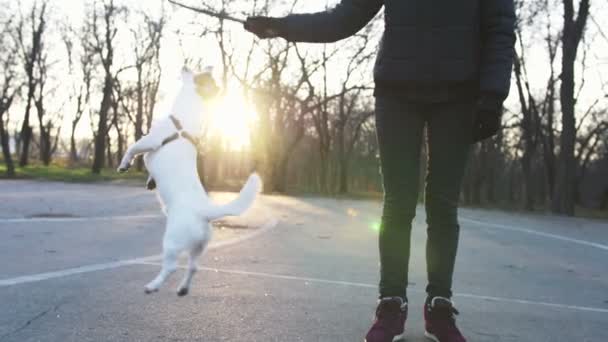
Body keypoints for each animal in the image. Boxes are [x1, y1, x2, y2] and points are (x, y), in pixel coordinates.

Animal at [118, 68, 262, 296]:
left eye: (197, 73)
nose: (185, 66)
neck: (183, 120)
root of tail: (205, 211)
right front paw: (150, 181)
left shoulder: (150, 141)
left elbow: (132, 149)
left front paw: (124, 164)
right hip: (198, 247)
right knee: (194, 267)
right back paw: (183, 288)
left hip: (172, 242)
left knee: (171, 266)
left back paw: (153, 285)